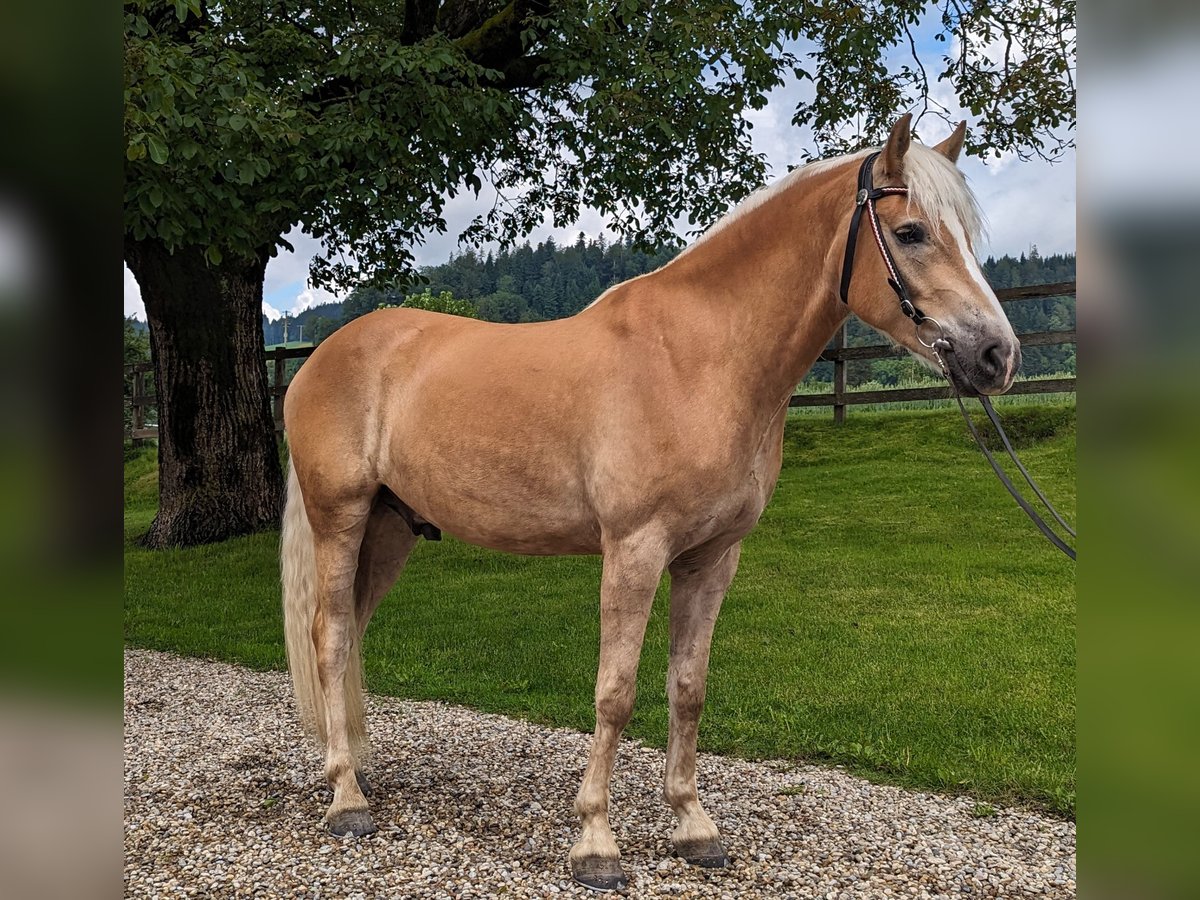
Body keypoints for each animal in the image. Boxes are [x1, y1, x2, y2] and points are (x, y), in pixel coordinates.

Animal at [283, 114, 1022, 897]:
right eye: (911, 232)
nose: (996, 357)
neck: (697, 359)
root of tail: (321, 355)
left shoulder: (712, 559)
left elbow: (687, 688)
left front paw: (694, 827)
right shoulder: (634, 549)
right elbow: (616, 691)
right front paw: (596, 843)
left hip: (391, 530)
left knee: (351, 633)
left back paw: (354, 771)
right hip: (342, 519)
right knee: (330, 636)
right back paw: (346, 799)